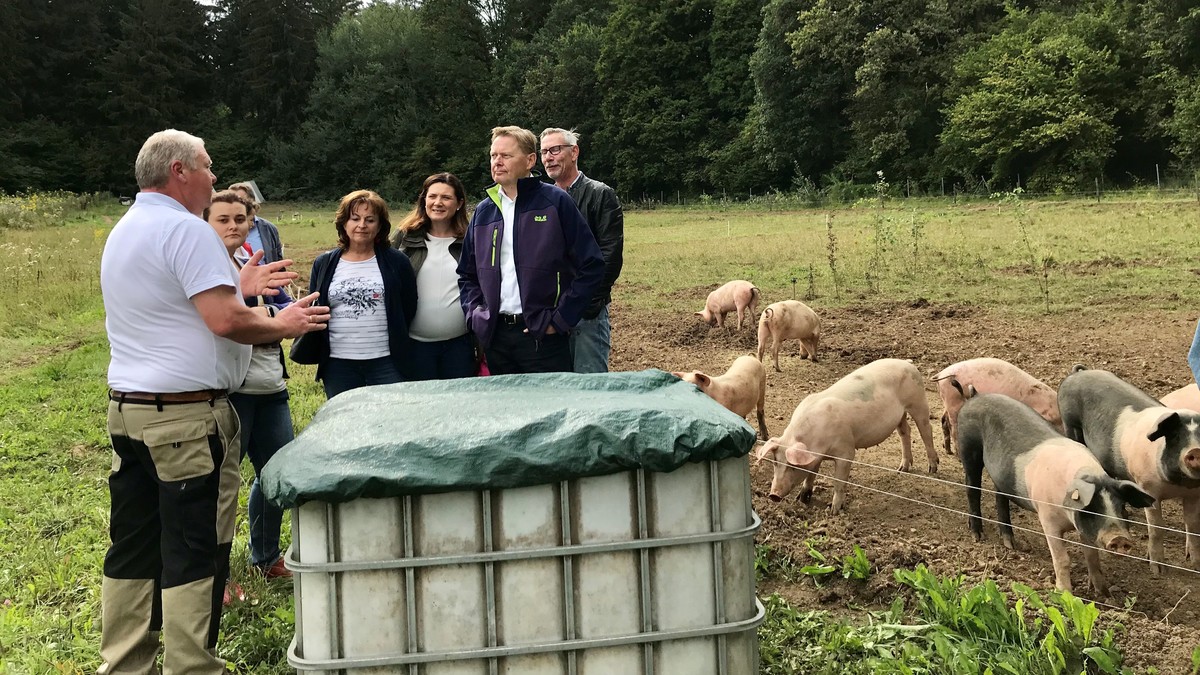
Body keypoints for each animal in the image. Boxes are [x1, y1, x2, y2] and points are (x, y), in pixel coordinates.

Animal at [748, 357, 936, 509]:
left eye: (793, 466)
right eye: (775, 462)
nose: (773, 495)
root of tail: (907, 363)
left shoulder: (846, 451)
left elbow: (839, 481)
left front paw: (833, 510)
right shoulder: (815, 456)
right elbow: (811, 475)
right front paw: (802, 499)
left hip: (918, 402)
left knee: (926, 430)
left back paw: (932, 469)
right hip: (900, 416)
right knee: (905, 431)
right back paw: (902, 469)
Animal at [926, 355, 1060, 454]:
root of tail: (941, 374)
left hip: (947, 398)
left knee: (944, 421)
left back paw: (948, 451)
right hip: (953, 400)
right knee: (953, 426)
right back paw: (957, 455)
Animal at [950, 379, 1156, 593]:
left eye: (1121, 506)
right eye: (1092, 508)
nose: (1118, 538)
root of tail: (975, 396)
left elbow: (1092, 556)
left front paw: (1102, 592)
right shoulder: (1047, 519)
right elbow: (1062, 559)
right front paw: (1064, 592)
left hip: (1001, 473)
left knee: (1001, 496)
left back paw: (1010, 544)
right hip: (969, 447)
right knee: (972, 489)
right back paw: (978, 535)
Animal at [1060, 365, 1200, 569]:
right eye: (1175, 436)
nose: (1195, 450)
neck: (1176, 485)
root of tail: (1078, 373)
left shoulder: (1193, 494)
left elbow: (1193, 526)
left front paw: (1195, 564)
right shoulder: (1148, 486)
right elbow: (1156, 528)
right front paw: (1157, 569)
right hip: (1070, 424)